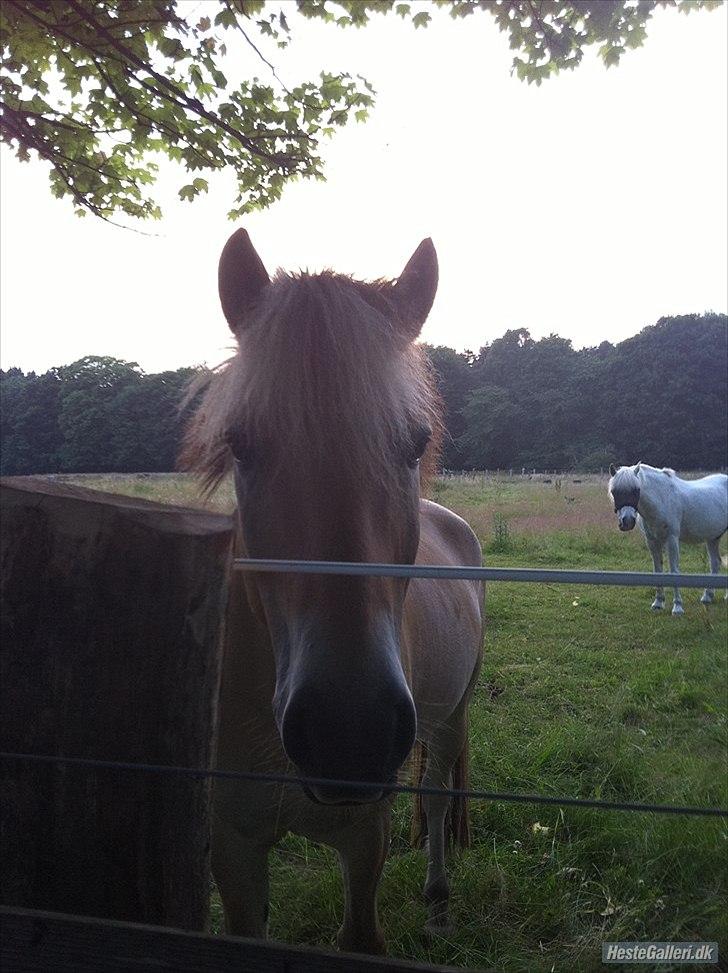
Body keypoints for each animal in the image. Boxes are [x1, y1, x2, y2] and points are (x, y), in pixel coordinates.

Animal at [182, 229, 484, 953]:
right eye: (240, 444)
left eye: (416, 443)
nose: (350, 732)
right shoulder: (235, 847)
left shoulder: (363, 841)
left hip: (451, 715)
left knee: (436, 796)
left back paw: (438, 903)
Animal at [608, 462, 728, 615]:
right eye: (614, 491)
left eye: (636, 490)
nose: (627, 521)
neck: (662, 499)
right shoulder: (652, 541)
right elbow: (658, 570)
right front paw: (658, 603)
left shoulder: (672, 539)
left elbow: (673, 571)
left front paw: (677, 607)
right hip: (713, 537)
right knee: (715, 562)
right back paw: (707, 596)